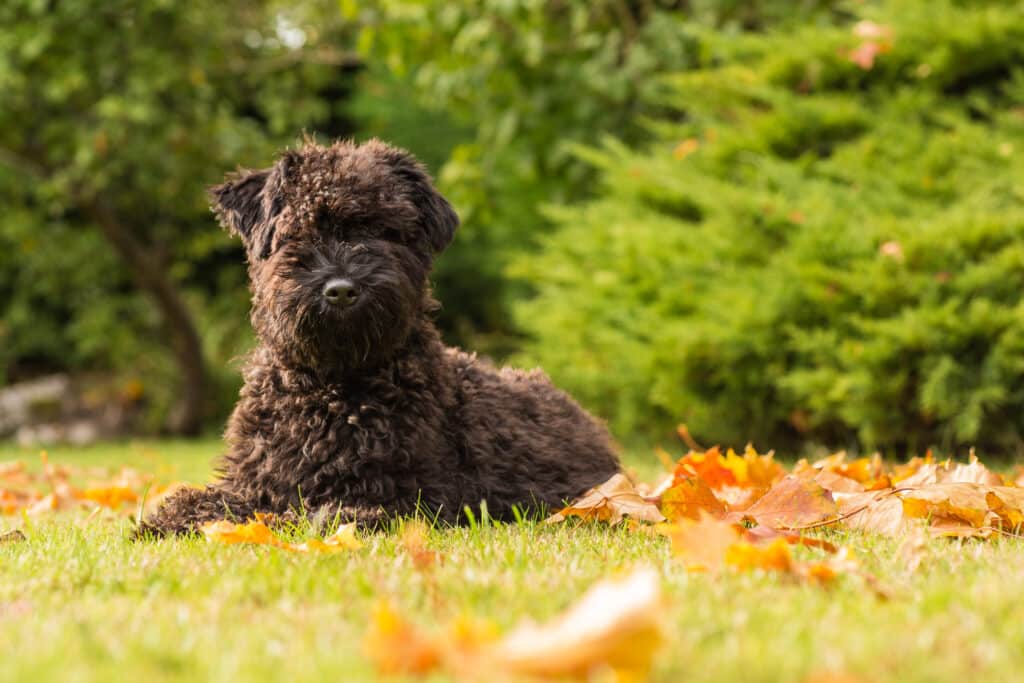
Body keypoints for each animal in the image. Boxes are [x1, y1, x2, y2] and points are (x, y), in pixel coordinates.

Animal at [137, 137, 618, 532]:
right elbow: (210, 500)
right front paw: (166, 519)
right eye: (302, 230)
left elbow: (315, 513)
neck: (332, 387)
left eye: (383, 230)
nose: (341, 289)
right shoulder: (254, 480)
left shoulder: (416, 495)